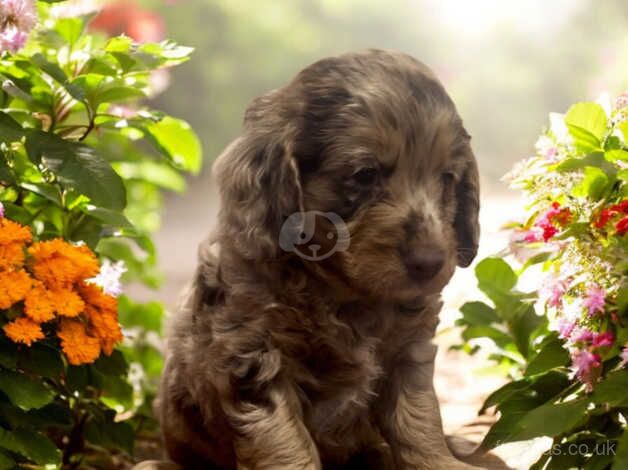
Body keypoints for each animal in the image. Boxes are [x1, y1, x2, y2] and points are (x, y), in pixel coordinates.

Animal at [157, 49, 480, 468]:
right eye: (364, 174)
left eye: (447, 178)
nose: (430, 262)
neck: (344, 294)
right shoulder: (254, 357)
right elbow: (285, 443)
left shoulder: (408, 352)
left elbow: (418, 420)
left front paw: (438, 460)